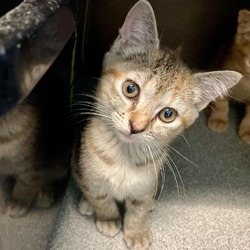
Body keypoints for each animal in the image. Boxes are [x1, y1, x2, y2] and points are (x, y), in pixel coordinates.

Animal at [73, 0, 242, 249]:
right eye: (130, 88)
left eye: (167, 114)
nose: (136, 126)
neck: (123, 155)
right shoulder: (91, 175)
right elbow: (101, 198)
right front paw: (108, 219)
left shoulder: (146, 186)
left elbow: (139, 210)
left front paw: (136, 232)